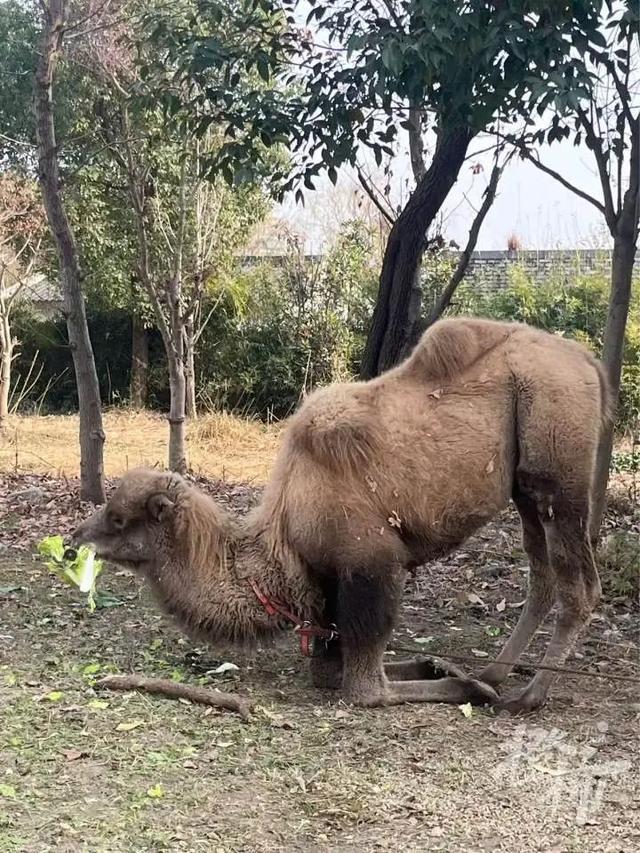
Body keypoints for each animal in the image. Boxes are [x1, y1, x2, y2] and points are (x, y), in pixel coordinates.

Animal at [74, 314, 608, 712]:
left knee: (577, 581)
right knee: (541, 573)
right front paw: (442, 666)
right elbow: (328, 670)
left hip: (559, 464)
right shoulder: (329, 582)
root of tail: (588, 362)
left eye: (119, 519)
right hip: (525, 487)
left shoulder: (371, 566)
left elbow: (364, 687)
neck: (283, 538)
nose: (78, 536)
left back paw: (528, 693)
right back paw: (495, 672)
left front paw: (462, 685)